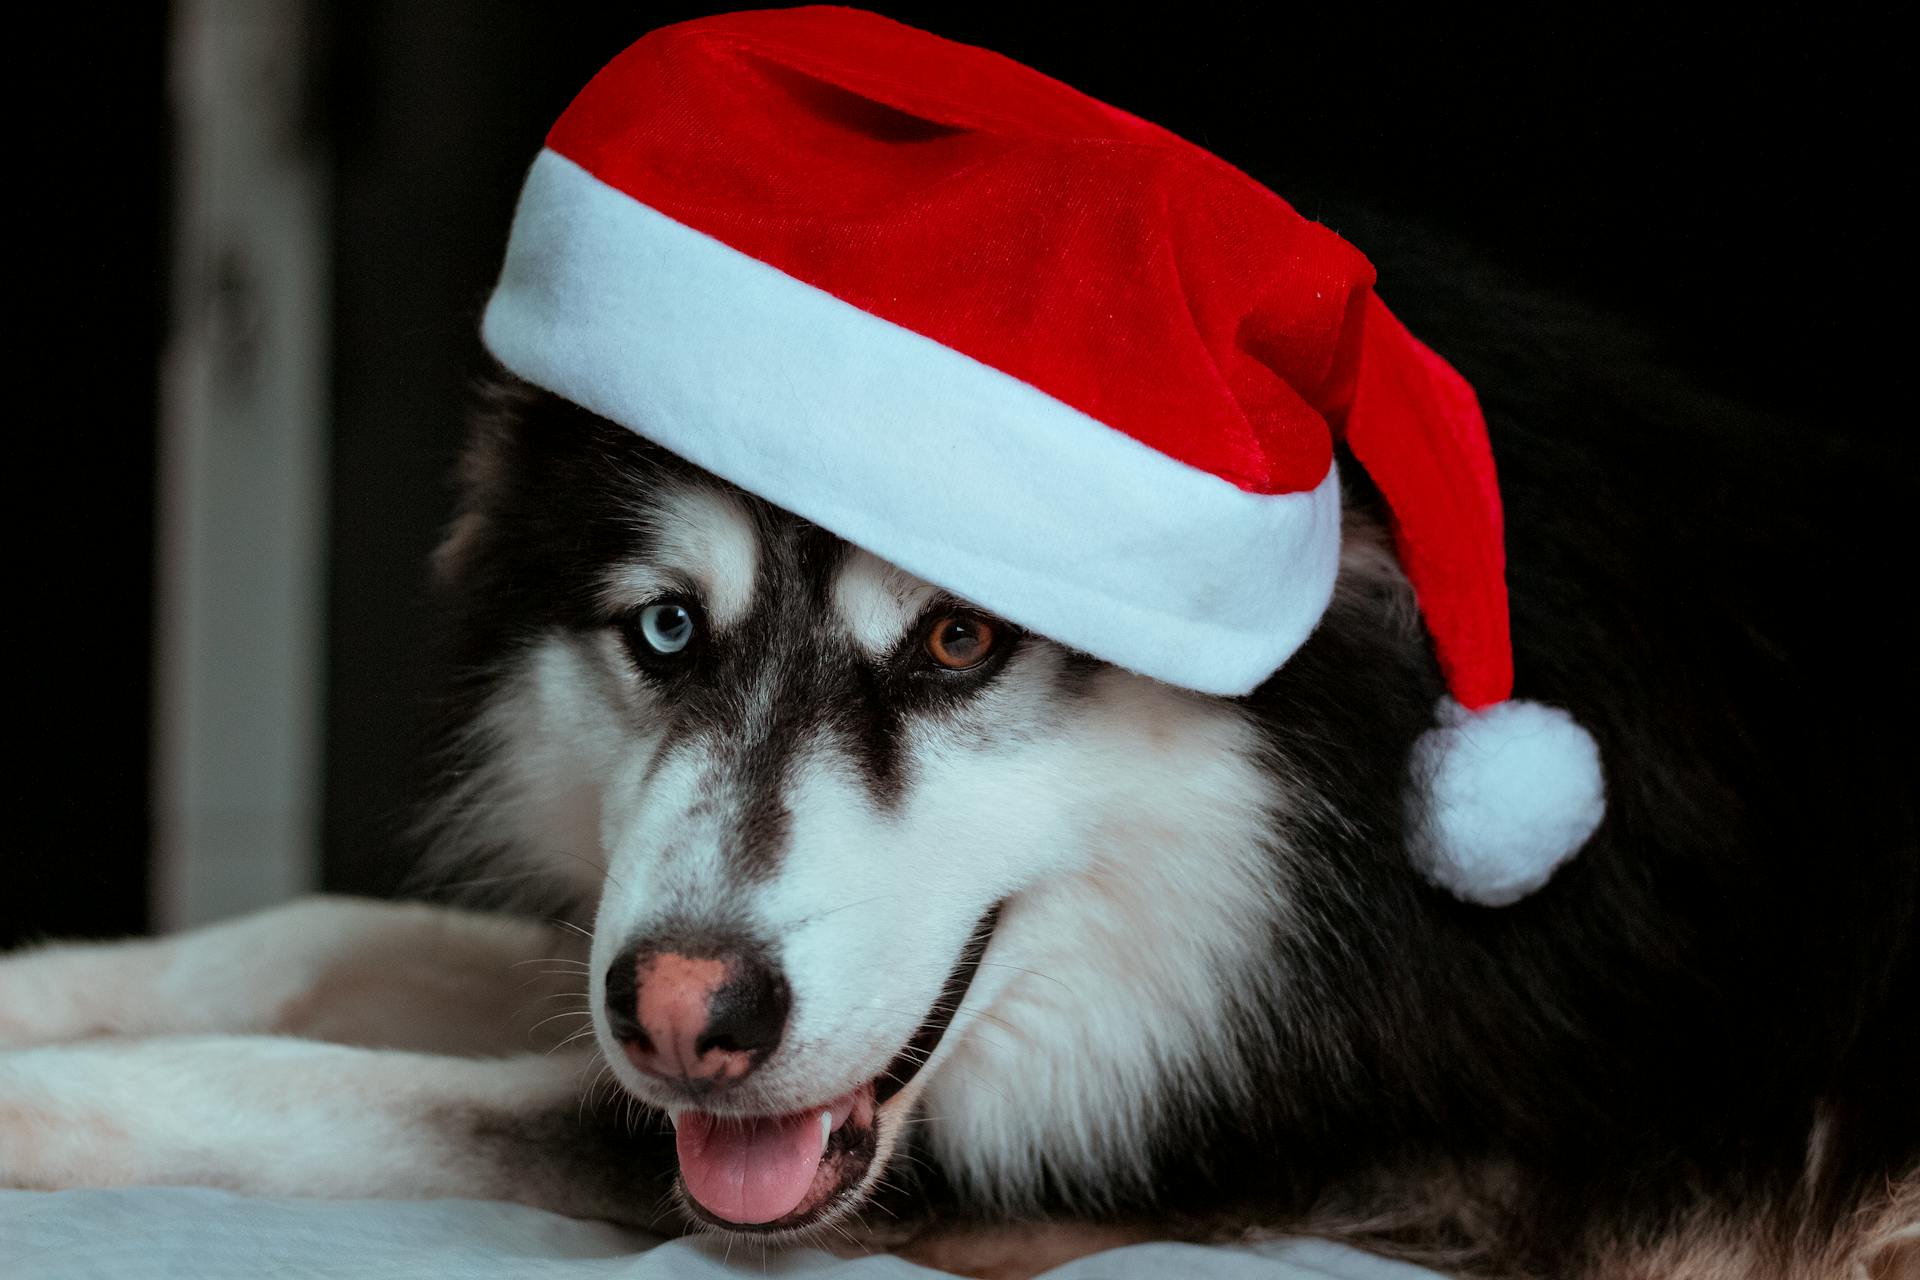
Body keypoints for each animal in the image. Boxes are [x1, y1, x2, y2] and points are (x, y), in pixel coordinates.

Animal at [0, 192, 1912, 1280]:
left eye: (960, 639)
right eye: (667, 630)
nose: (686, 1017)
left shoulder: (1196, 1144)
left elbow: (326, 1087)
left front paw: (40, 1104)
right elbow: (324, 940)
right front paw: (41, 990)